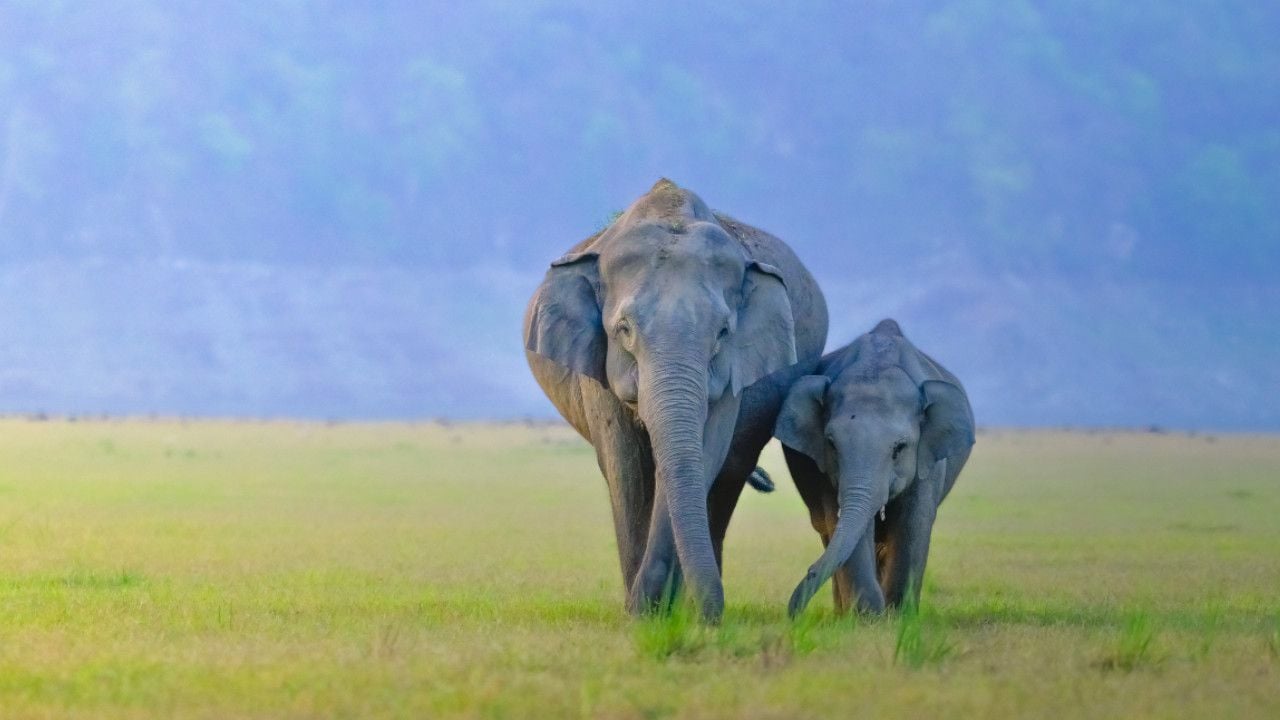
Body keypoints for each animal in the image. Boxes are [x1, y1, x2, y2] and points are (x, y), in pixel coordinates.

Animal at [523, 179, 828, 622]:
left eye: (722, 332)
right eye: (624, 329)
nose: (711, 618)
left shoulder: (734, 368)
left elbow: (705, 451)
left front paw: (663, 611)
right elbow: (626, 465)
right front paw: (641, 614)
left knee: (728, 476)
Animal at [775, 319, 974, 617]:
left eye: (899, 448)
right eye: (831, 444)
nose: (794, 614)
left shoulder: (928, 459)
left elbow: (913, 523)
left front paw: (898, 617)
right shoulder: (826, 472)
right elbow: (843, 524)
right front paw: (867, 617)